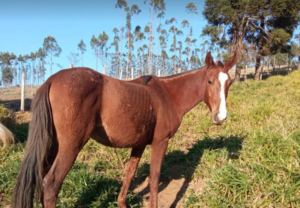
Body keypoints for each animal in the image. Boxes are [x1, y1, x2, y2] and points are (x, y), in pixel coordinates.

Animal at [12, 51, 237, 207]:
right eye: (209, 81)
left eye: (229, 83)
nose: (221, 117)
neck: (167, 94)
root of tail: (52, 80)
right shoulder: (160, 142)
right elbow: (154, 178)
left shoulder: (139, 144)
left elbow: (129, 173)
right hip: (70, 147)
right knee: (51, 184)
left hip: (52, 145)